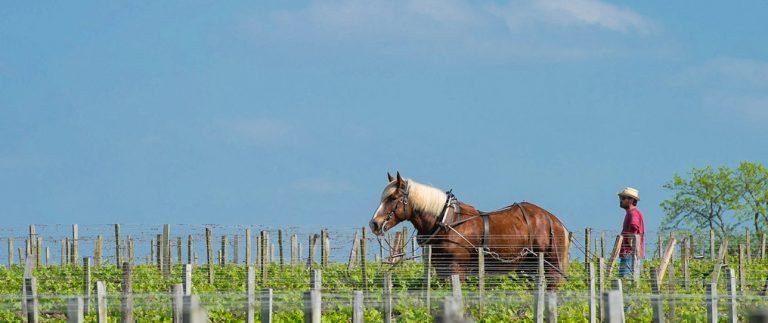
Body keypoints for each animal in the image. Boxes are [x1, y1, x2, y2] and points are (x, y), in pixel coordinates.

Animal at [366, 173, 568, 290]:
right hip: (526, 267)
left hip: (550, 265)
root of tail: (554, 221)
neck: (447, 222)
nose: (374, 224)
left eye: (393, 198)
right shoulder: (440, 268)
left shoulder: (457, 267)